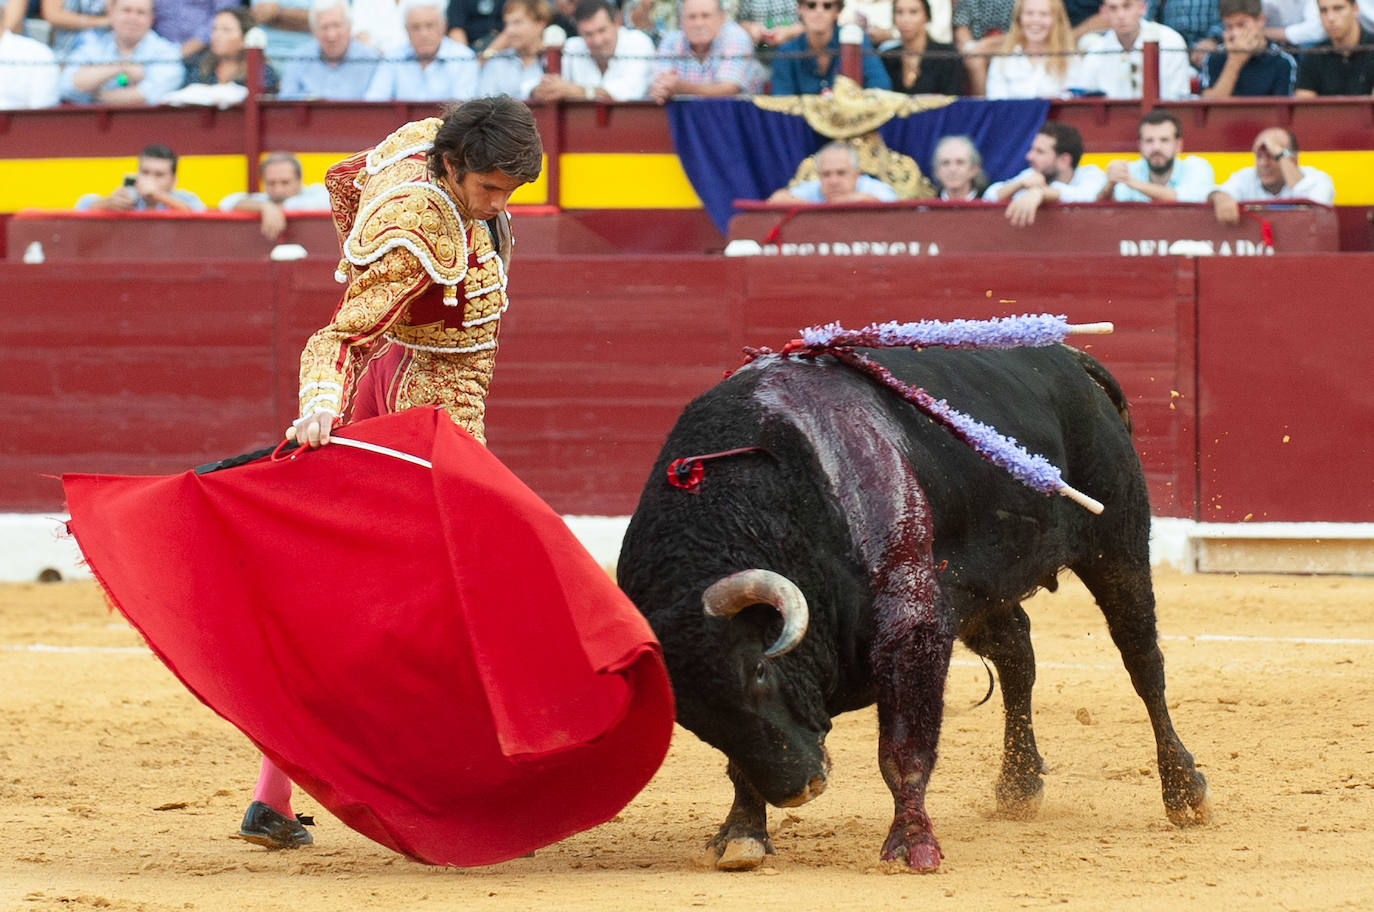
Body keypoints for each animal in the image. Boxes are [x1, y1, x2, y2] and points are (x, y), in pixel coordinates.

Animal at [618, 342, 1209, 868]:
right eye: (690, 717)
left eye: (760, 671)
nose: (799, 788)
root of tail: (1070, 359)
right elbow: (739, 762)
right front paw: (742, 834)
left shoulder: (914, 630)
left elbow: (902, 749)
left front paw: (912, 846)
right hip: (983, 590)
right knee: (1018, 657)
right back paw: (1019, 784)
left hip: (1117, 543)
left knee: (1142, 661)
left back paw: (1184, 790)